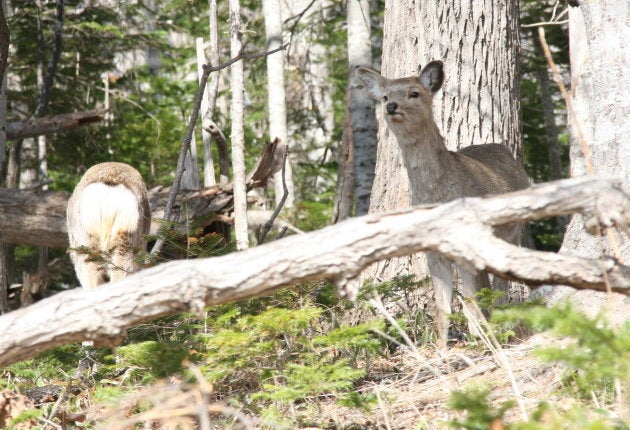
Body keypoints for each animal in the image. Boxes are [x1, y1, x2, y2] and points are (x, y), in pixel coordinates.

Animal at [358, 61, 532, 350]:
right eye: (384, 96)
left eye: (414, 93)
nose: (391, 106)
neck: (436, 193)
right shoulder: (433, 251)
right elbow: (442, 306)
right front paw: (441, 349)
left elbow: (470, 301)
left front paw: (481, 342)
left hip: (513, 232)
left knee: (500, 286)